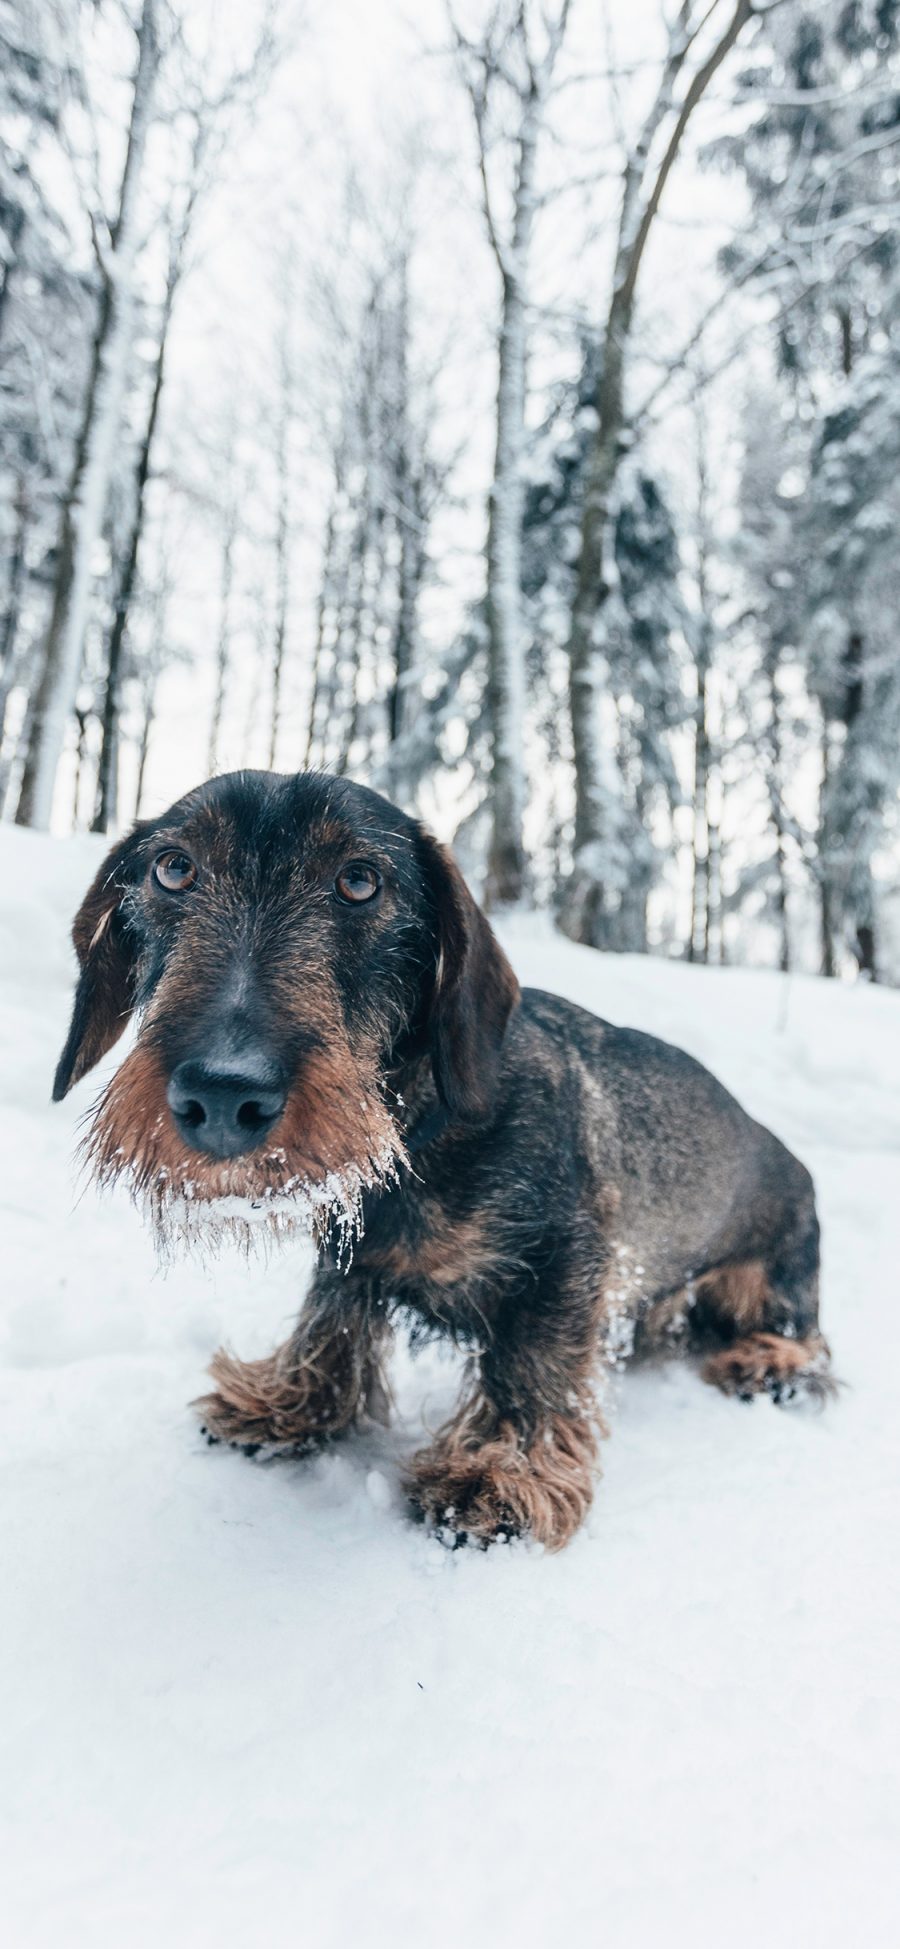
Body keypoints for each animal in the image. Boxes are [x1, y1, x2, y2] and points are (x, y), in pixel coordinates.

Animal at [52, 767, 833, 1543]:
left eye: (359, 881)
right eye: (173, 868)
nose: (222, 1094)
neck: (413, 1137)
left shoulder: (568, 1254)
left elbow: (532, 1361)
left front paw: (502, 1472)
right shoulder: (349, 1248)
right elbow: (331, 1315)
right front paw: (288, 1401)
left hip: (773, 1278)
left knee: (809, 1339)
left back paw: (770, 1363)